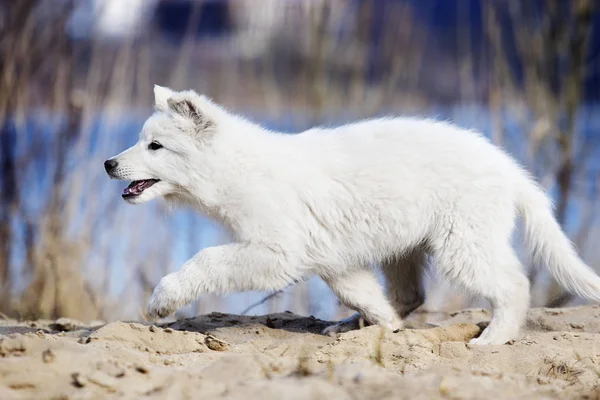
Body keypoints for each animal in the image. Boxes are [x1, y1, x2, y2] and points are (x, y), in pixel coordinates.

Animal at [104, 86, 600, 346]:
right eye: (142, 141)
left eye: (155, 146)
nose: (108, 163)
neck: (234, 167)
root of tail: (510, 169)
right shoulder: (329, 257)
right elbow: (360, 292)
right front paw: (382, 325)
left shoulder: (275, 251)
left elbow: (205, 260)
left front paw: (162, 300)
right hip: (406, 244)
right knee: (409, 295)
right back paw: (355, 325)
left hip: (462, 242)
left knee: (514, 285)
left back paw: (494, 338)